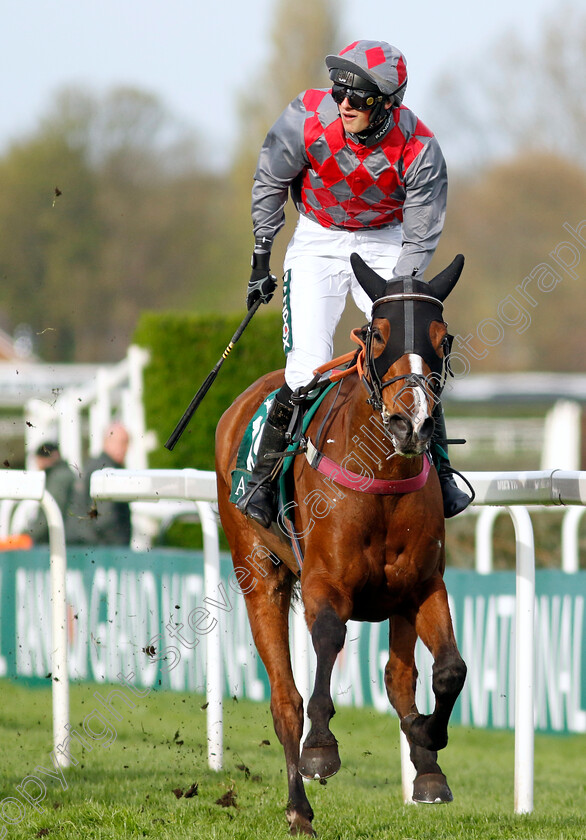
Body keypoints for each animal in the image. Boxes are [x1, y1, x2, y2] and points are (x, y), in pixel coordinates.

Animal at [214, 253, 466, 836]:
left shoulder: (423, 584)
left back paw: (425, 767)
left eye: (441, 338)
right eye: (379, 335)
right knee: (285, 699)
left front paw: (428, 738)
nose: (411, 422)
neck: (381, 472)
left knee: (399, 676)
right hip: (258, 573)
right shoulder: (323, 581)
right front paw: (322, 749)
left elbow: (448, 670)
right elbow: (328, 641)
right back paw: (298, 809)